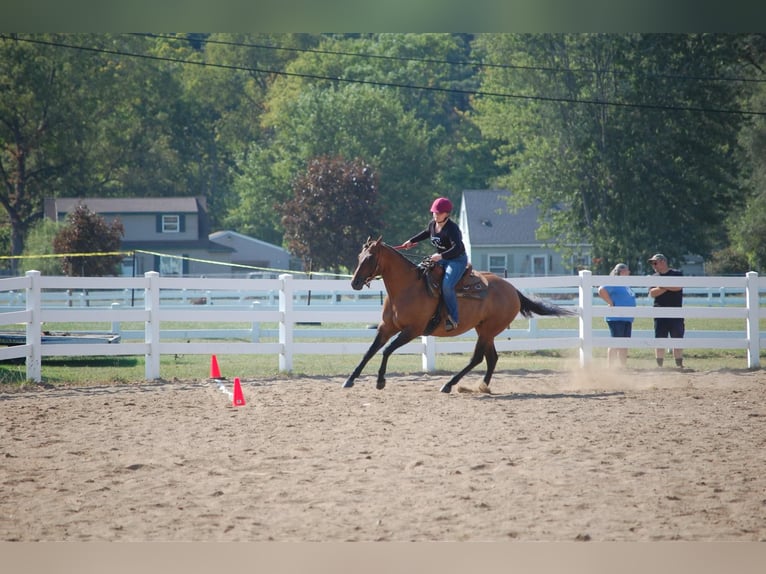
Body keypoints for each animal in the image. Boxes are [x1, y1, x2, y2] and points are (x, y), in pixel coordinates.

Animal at [343, 237, 576, 393]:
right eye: (359, 256)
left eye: (370, 258)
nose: (354, 283)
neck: (407, 288)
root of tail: (512, 289)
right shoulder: (386, 327)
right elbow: (369, 351)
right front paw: (350, 379)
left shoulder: (412, 331)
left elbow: (386, 351)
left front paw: (380, 381)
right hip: (485, 330)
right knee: (492, 358)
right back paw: (482, 386)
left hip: (488, 331)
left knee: (477, 358)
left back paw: (449, 385)